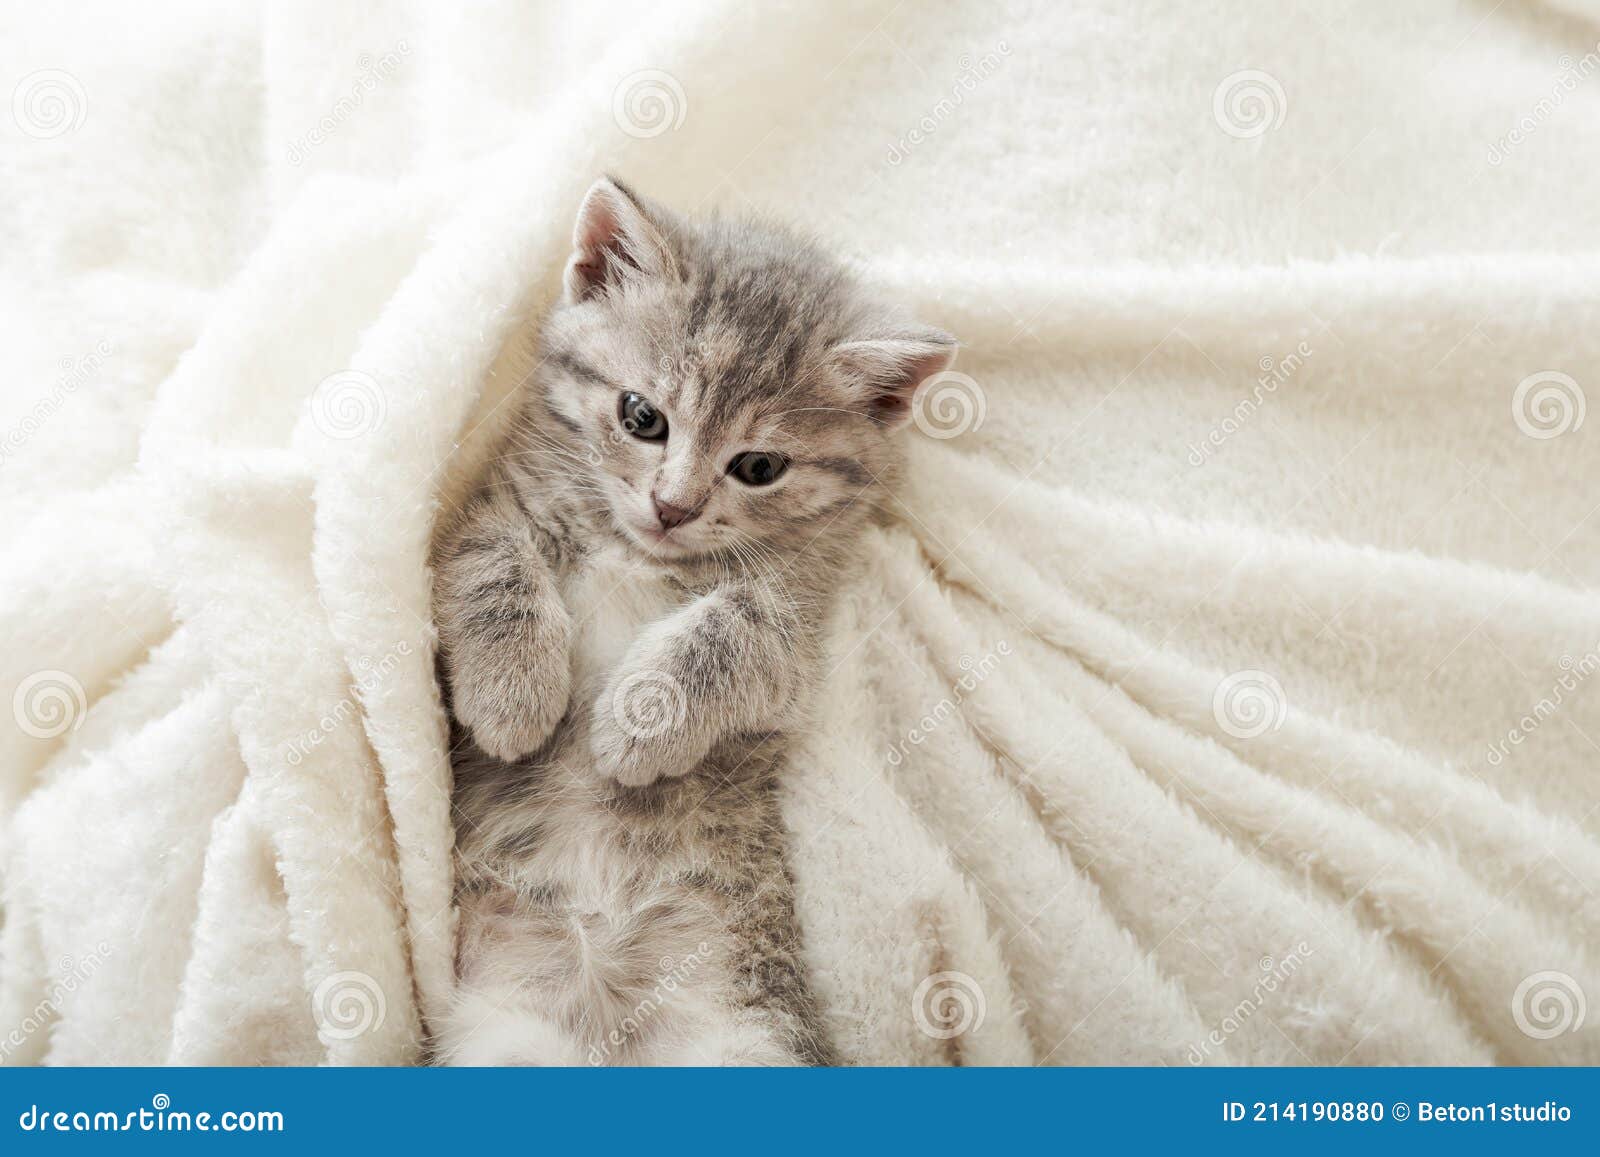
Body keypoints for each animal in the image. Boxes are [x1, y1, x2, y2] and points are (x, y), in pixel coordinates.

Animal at [432, 178, 953, 1068]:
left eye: (758, 466)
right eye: (642, 416)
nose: (672, 507)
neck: (633, 548)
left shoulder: (796, 627)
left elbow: (735, 633)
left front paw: (636, 728)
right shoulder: (485, 514)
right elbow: (491, 564)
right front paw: (512, 698)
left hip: (745, 1035)